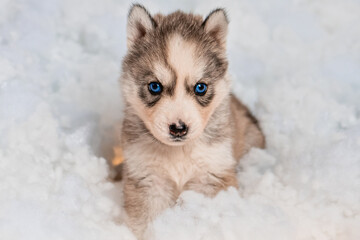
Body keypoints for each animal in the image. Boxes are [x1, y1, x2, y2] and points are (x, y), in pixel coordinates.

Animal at [120, 3, 264, 238]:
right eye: (155, 86)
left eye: (200, 87)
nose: (178, 128)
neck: (179, 152)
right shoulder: (149, 180)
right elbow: (146, 222)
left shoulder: (210, 177)